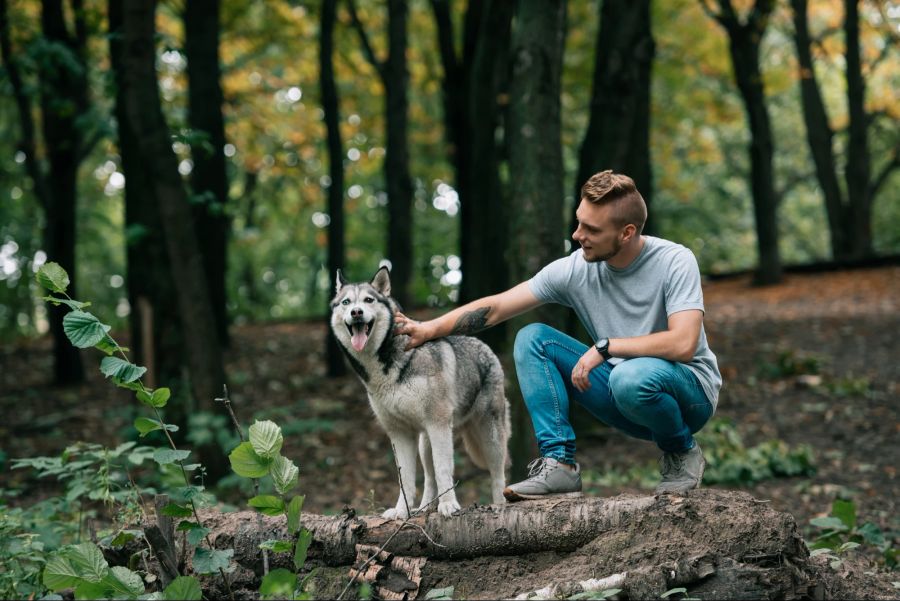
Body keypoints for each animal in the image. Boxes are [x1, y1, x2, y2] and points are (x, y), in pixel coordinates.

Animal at [332, 266, 512, 516]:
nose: (356, 312)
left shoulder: (438, 425)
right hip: (425, 443)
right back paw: (424, 509)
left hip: (489, 437)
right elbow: (406, 479)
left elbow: (444, 469)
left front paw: (449, 506)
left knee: (498, 475)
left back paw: (498, 505)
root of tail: (486, 348)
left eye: (368, 300)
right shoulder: (400, 434)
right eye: (346, 302)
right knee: (429, 478)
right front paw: (402, 512)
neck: (387, 367)